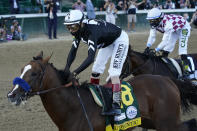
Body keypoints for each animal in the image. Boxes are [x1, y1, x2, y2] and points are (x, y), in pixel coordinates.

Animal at [6, 51, 197, 130]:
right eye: (22, 69)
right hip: (151, 122)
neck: (73, 107)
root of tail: (168, 80)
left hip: (167, 123)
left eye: (34, 73)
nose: (12, 95)